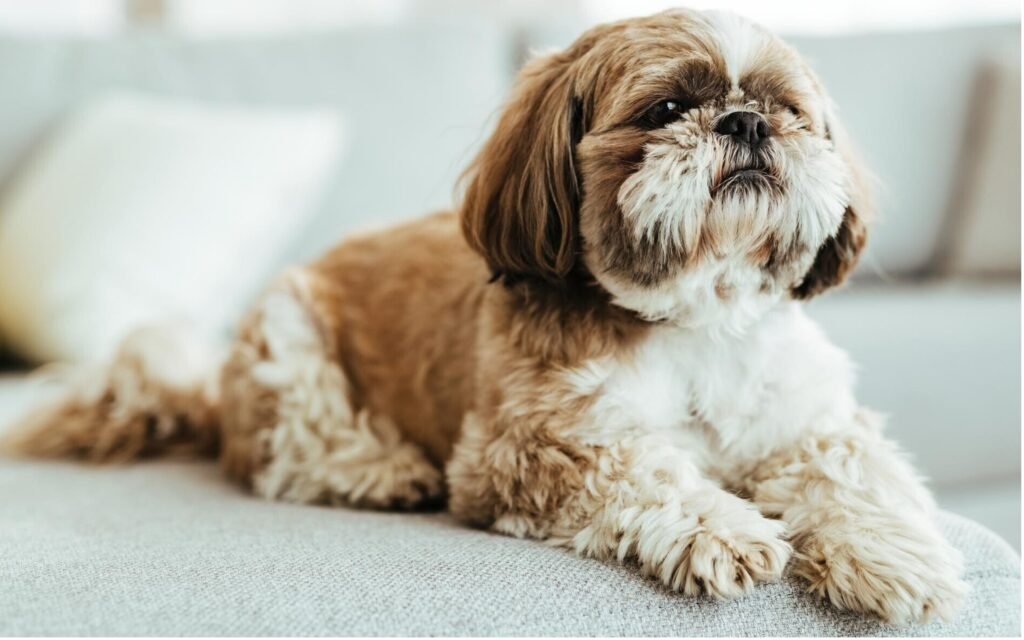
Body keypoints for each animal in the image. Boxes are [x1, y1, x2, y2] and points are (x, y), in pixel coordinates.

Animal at [6, 6, 966, 622]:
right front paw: (720, 527)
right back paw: (379, 467)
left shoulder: (811, 419)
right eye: (666, 108)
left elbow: (850, 471)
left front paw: (894, 551)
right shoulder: (526, 449)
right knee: (288, 455)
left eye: (788, 110)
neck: (695, 319)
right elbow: (643, 468)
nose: (745, 123)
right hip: (288, 332)